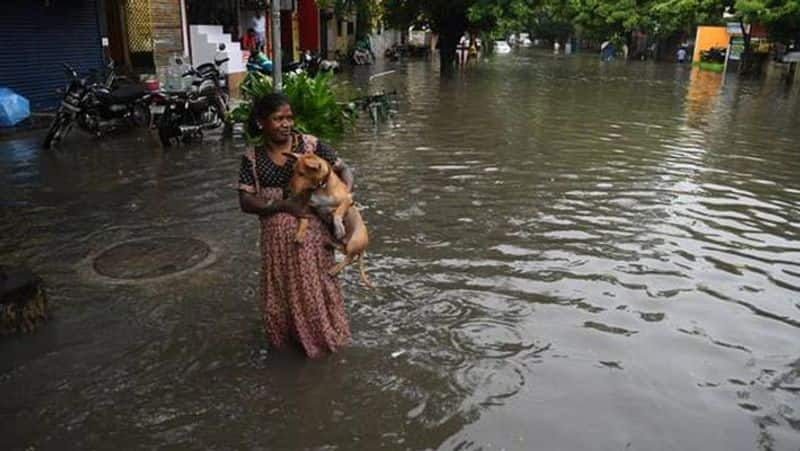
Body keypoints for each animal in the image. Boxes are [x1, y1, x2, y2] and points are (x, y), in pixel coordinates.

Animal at [284, 150, 372, 288]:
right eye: (293, 171)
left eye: (301, 173)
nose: (288, 190)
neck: (320, 187)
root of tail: (363, 247)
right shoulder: (307, 206)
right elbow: (304, 219)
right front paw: (300, 233)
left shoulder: (347, 200)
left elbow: (338, 213)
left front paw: (339, 227)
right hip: (346, 244)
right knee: (344, 250)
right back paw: (329, 243)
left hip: (354, 241)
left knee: (350, 258)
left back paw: (334, 269)